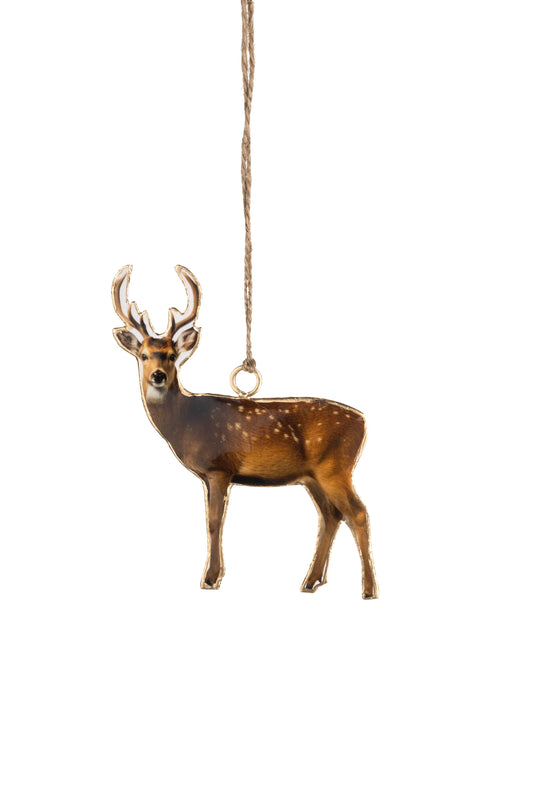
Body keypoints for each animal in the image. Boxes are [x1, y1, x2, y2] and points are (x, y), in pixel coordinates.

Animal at [112, 265, 378, 598]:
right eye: (144, 355)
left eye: (173, 355)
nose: (158, 376)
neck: (185, 422)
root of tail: (363, 422)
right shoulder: (212, 474)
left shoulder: (219, 467)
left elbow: (214, 522)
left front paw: (211, 578)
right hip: (312, 476)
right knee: (330, 515)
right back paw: (311, 581)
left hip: (335, 466)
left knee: (358, 513)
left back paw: (367, 588)